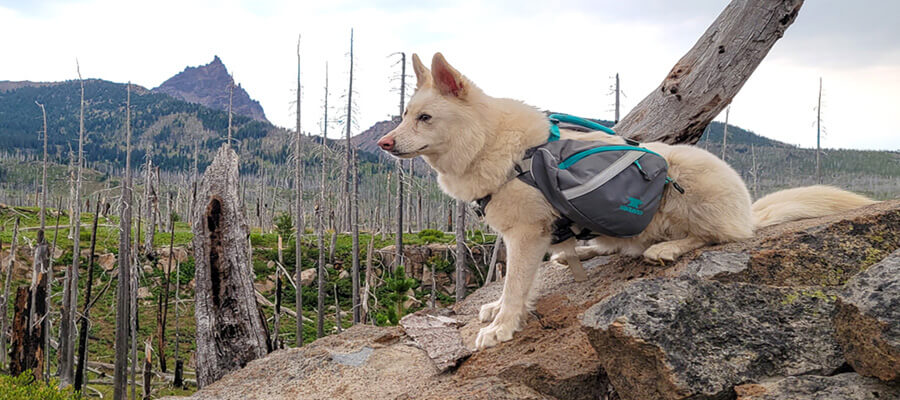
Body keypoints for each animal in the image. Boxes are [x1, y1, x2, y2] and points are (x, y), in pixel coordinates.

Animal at [376, 54, 876, 350]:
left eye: (425, 118)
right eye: (404, 116)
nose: (383, 143)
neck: (490, 144)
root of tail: (750, 208)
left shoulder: (525, 235)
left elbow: (516, 286)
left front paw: (501, 326)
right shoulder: (530, 239)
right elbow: (517, 283)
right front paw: (499, 311)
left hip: (687, 177)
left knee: (718, 236)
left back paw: (667, 248)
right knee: (617, 244)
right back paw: (586, 250)